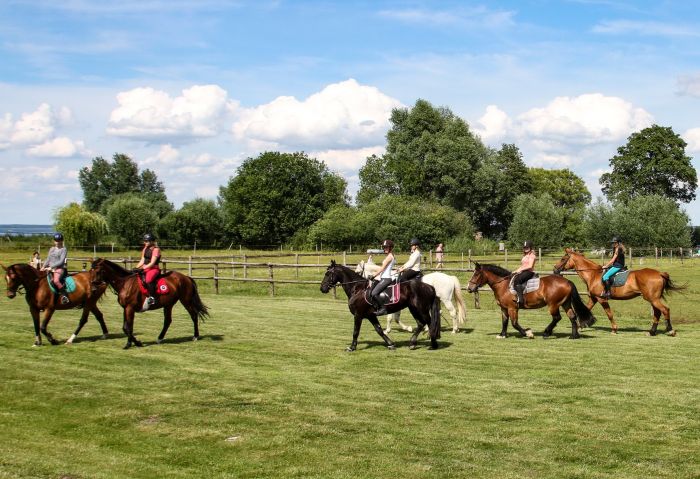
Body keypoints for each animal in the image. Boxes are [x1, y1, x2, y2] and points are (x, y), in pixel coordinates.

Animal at [464, 262, 596, 342]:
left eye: (476, 274)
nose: (469, 288)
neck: (503, 285)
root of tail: (567, 281)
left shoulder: (512, 308)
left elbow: (514, 323)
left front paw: (528, 333)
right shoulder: (504, 308)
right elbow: (504, 322)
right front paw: (502, 334)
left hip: (553, 304)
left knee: (557, 317)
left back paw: (546, 333)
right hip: (565, 303)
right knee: (572, 317)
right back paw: (574, 336)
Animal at [552, 249, 684, 336]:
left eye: (563, 259)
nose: (555, 269)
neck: (593, 274)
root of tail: (659, 273)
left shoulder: (602, 299)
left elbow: (609, 314)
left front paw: (614, 329)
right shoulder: (593, 298)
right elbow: (586, 309)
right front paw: (581, 326)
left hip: (653, 299)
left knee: (665, 310)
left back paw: (670, 330)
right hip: (652, 299)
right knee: (657, 312)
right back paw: (652, 332)